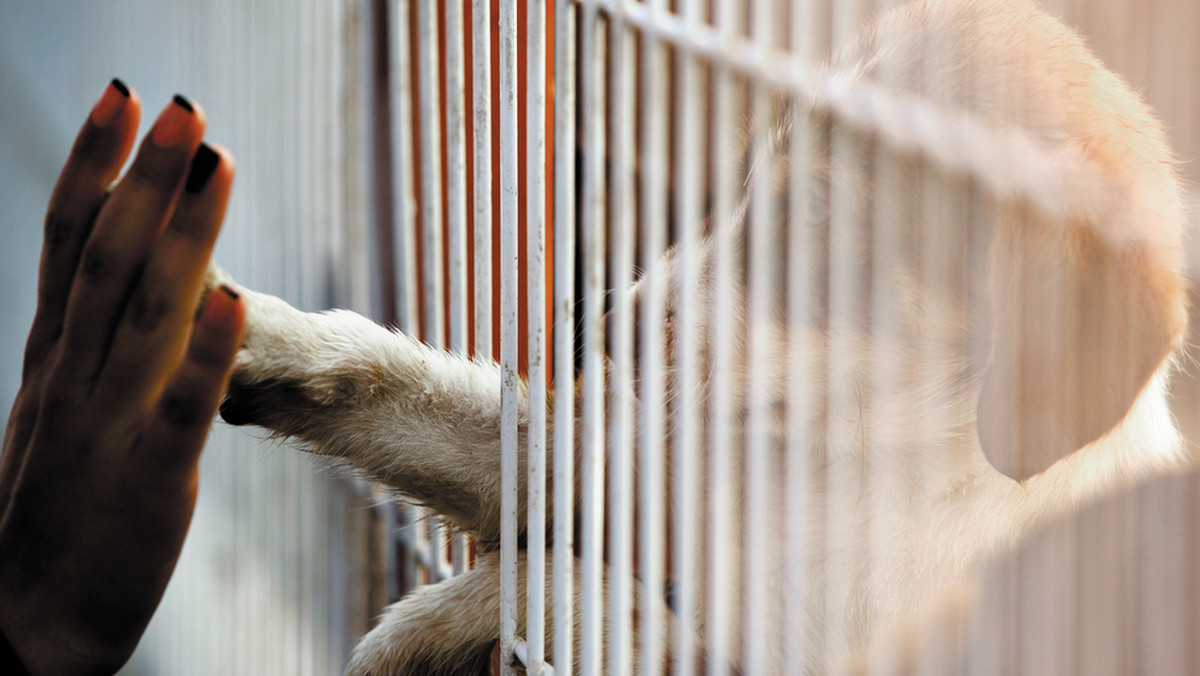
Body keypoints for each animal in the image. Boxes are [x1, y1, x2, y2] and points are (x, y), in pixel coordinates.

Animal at [206, 0, 1190, 672]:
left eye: (817, 213)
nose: (607, 328)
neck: (861, 462)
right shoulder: (638, 461)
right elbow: (424, 396)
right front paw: (250, 335)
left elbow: (573, 588)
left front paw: (437, 621)